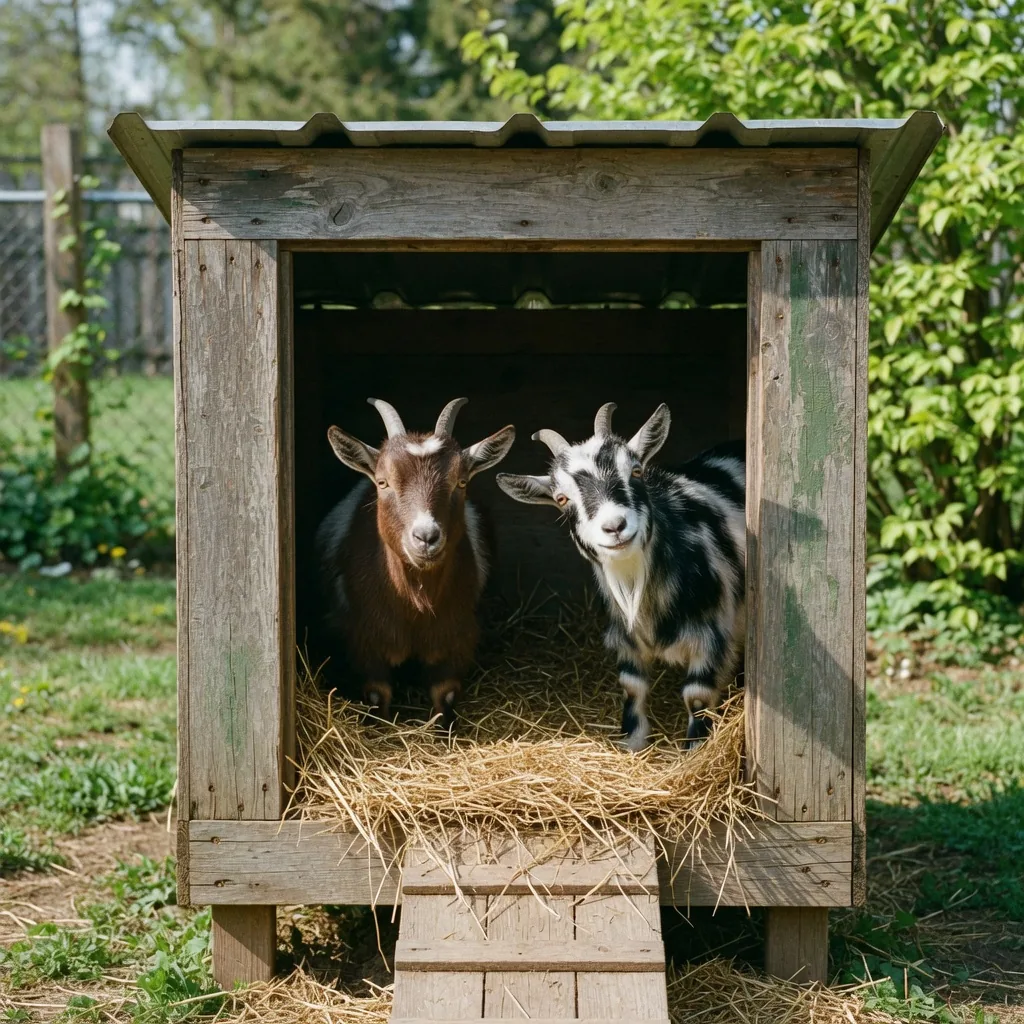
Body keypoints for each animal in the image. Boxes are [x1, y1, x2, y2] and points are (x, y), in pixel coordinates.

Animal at [316, 397, 515, 727]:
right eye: (383, 482)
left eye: (461, 482)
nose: (426, 536)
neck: (415, 605)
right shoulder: (365, 639)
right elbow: (377, 693)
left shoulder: (456, 637)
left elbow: (445, 693)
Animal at [497, 403, 745, 750]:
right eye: (561, 498)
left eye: (636, 471)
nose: (614, 526)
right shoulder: (626, 637)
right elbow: (632, 685)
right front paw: (632, 739)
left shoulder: (713, 635)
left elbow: (696, 695)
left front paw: (695, 748)